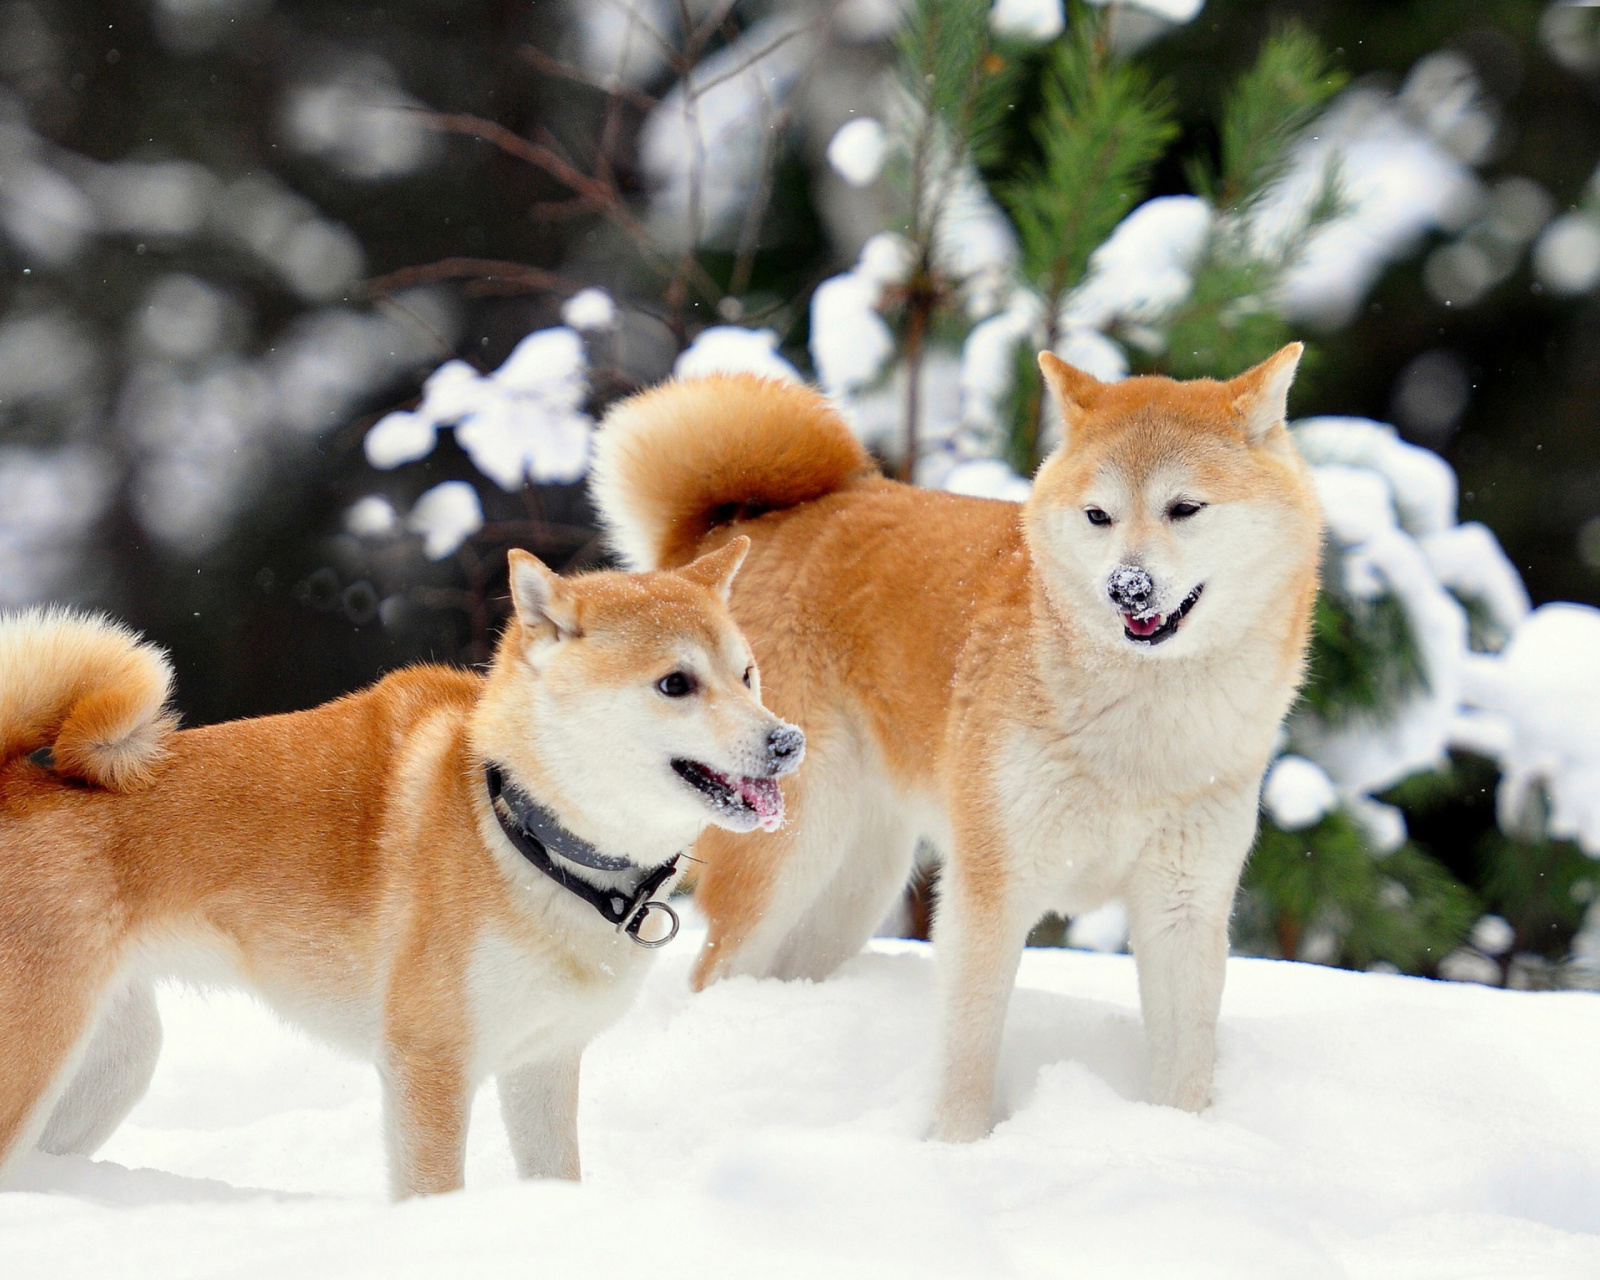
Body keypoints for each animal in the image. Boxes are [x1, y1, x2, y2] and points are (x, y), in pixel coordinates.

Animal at [0, 544, 800, 1203]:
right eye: (675, 684)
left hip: (110, 1067)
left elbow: (557, 1176)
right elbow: (434, 1189)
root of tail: (15, 781)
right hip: (36, 1059)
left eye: (747, 673)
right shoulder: (430, 1063)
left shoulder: (541, 1064)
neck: (522, 831)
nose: (787, 741)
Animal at [595, 350, 1318, 1139]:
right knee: (711, 973)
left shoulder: (1184, 906)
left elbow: (1185, 1069)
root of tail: (735, 531)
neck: (1142, 731)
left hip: (854, 887)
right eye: (1099, 515)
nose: (1127, 587)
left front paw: (1181, 1140)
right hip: (789, 861)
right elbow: (969, 1051)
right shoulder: (990, 892)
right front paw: (959, 1148)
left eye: (1185, 508)